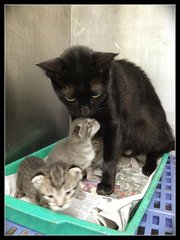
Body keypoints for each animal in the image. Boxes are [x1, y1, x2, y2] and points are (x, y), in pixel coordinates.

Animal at [36, 44, 174, 195]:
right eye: (70, 98)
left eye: (96, 94)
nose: (85, 110)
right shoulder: (75, 116)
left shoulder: (114, 124)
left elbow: (110, 157)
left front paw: (107, 184)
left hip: (145, 129)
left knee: (160, 147)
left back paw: (149, 166)